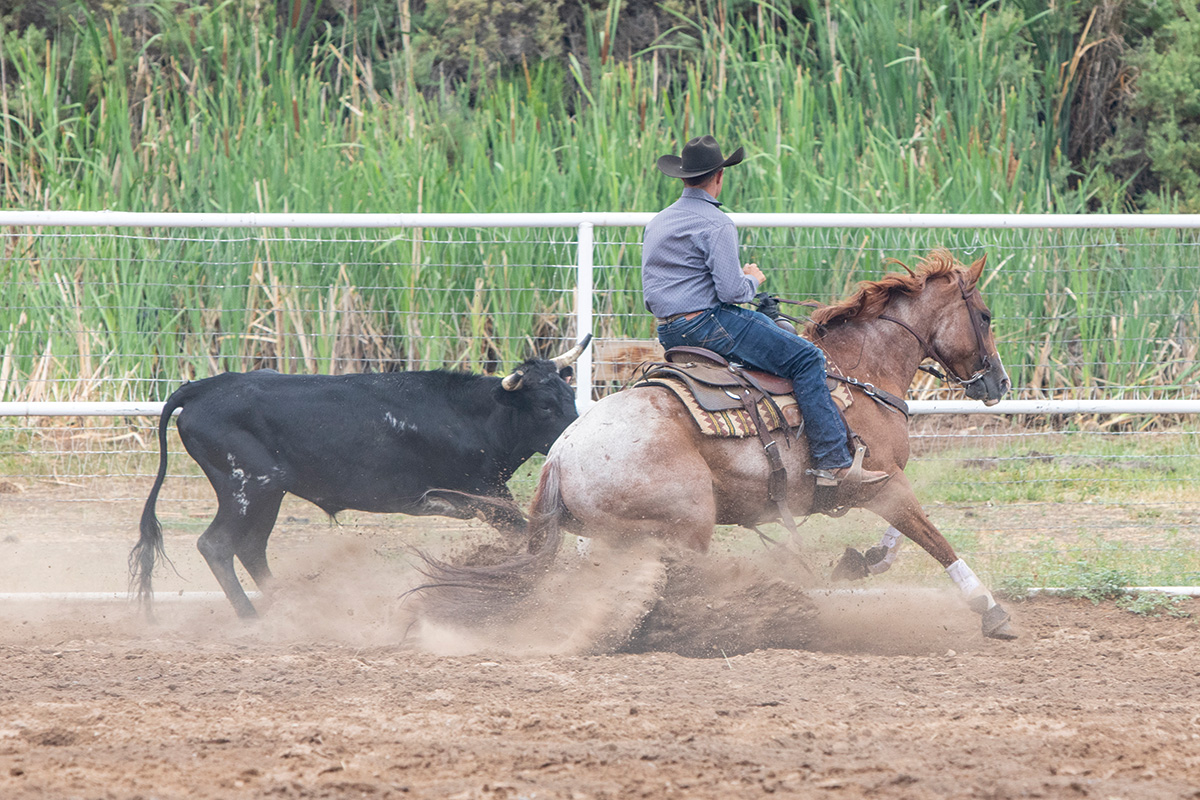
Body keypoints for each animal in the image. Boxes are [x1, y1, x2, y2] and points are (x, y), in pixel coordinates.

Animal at [130, 333, 590, 618]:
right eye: (544, 405)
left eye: (569, 395)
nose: (575, 435)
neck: (475, 416)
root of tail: (204, 387)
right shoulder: (486, 496)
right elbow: (531, 541)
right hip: (246, 488)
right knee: (218, 545)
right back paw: (253, 616)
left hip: (267, 494)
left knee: (250, 548)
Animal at [420, 250, 1012, 638]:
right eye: (985, 316)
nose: (1000, 383)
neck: (857, 373)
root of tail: (562, 457)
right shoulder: (878, 482)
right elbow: (932, 536)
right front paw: (990, 610)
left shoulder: (879, 486)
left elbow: (900, 535)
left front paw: (860, 561)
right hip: (683, 528)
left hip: (612, 539)